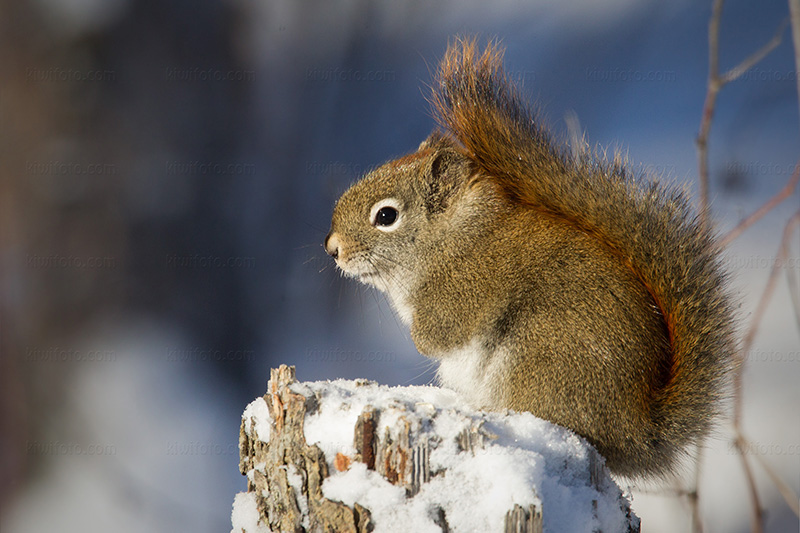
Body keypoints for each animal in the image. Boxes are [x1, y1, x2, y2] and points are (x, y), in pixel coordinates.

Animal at [324, 39, 732, 476]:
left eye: (386, 216)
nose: (332, 248)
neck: (452, 238)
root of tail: (635, 431)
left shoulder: (465, 289)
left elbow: (438, 335)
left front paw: (420, 338)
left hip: (539, 356)